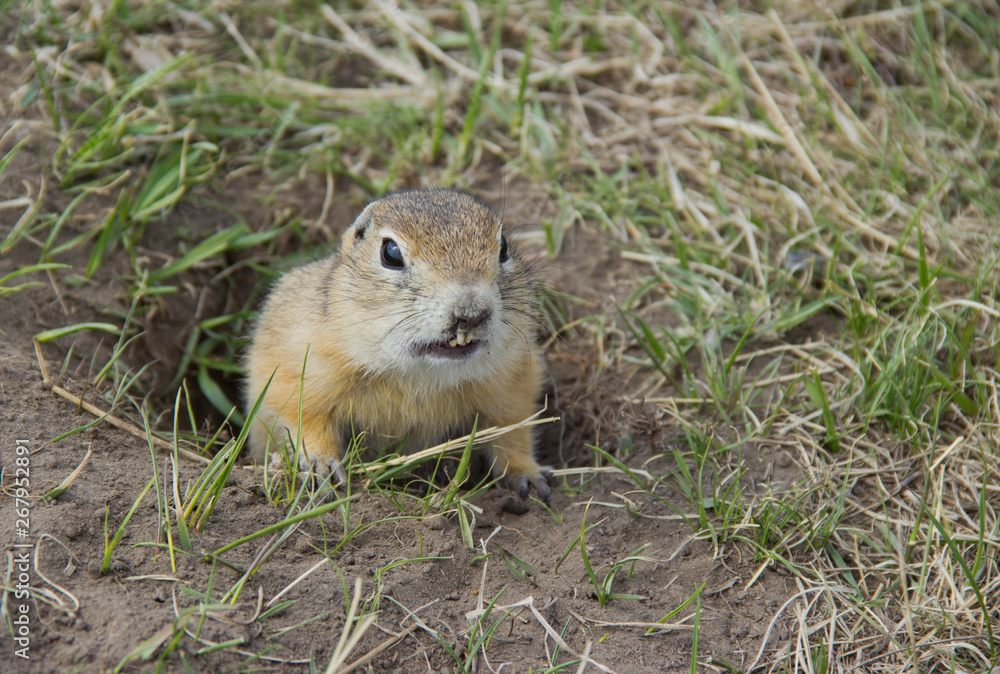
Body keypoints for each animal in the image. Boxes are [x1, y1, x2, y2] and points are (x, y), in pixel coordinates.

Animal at [244, 189, 551, 502]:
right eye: (390, 252)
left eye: (504, 248)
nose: (472, 312)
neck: (420, 374)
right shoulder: (298, 365)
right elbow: (302, 416)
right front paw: (322, 466)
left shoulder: (513, 383)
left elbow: (513, 429)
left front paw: (527, 475)